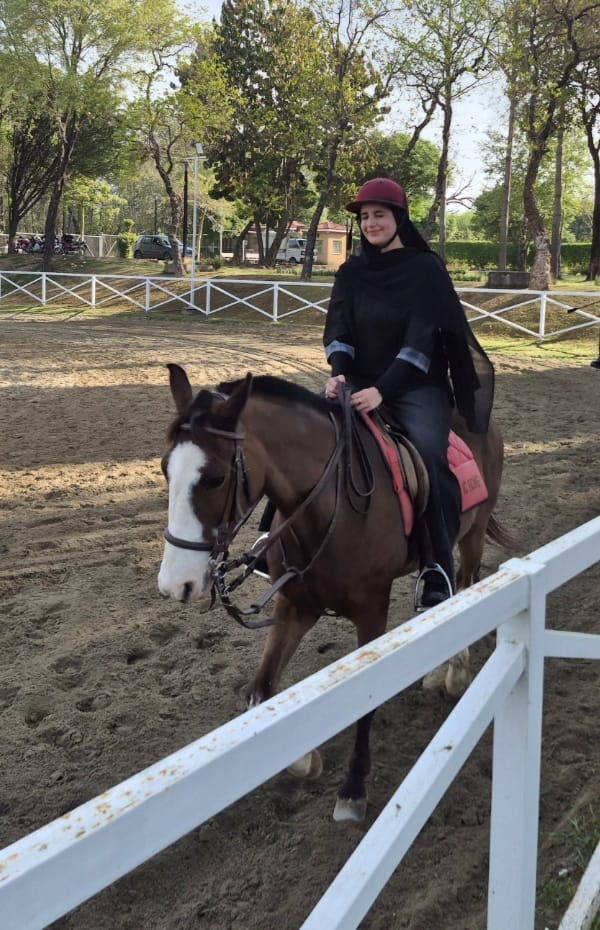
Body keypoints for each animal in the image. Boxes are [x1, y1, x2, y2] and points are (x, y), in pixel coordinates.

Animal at [158, 363, 516, 821]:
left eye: (216, 477)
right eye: (166, 470)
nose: (175, 584)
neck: (331, 509)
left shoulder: (372, 612)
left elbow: (365, 699)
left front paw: (353, 788)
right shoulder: (295, 607)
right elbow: (261, 694)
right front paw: (304, 758)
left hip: (471, 534)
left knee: (468, 586)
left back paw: (453, 671)